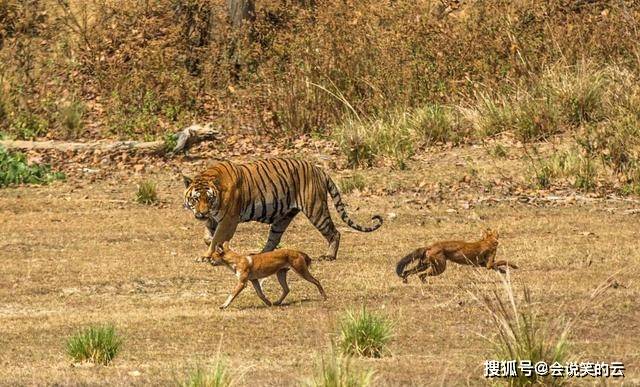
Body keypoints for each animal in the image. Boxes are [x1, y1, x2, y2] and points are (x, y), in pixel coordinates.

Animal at [182, 158, 382, 260]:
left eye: (208, 199)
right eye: (195, 199)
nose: (201, 213)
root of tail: (318, 169)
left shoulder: (229, 220)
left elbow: (217, 237)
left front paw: (208, 254)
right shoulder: (213, 219)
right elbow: (209, 236)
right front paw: (211, 246)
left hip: (316, 209)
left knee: (334, 232)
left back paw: (329, 256)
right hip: (283, 217)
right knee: (273, 239)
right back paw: (260, 255)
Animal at [200, 242, 328, 310]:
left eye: (212, 257)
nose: (208, 261)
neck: (235, 261)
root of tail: (298, 252)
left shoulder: (242, 283)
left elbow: (231, 295)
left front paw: (224, 305)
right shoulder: (254, 280)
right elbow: (260, 294)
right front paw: (268, 303)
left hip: (301, 272)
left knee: (317, 281)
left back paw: (324, 297)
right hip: (280, 274)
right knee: (287, 289)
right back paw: (277, 303)